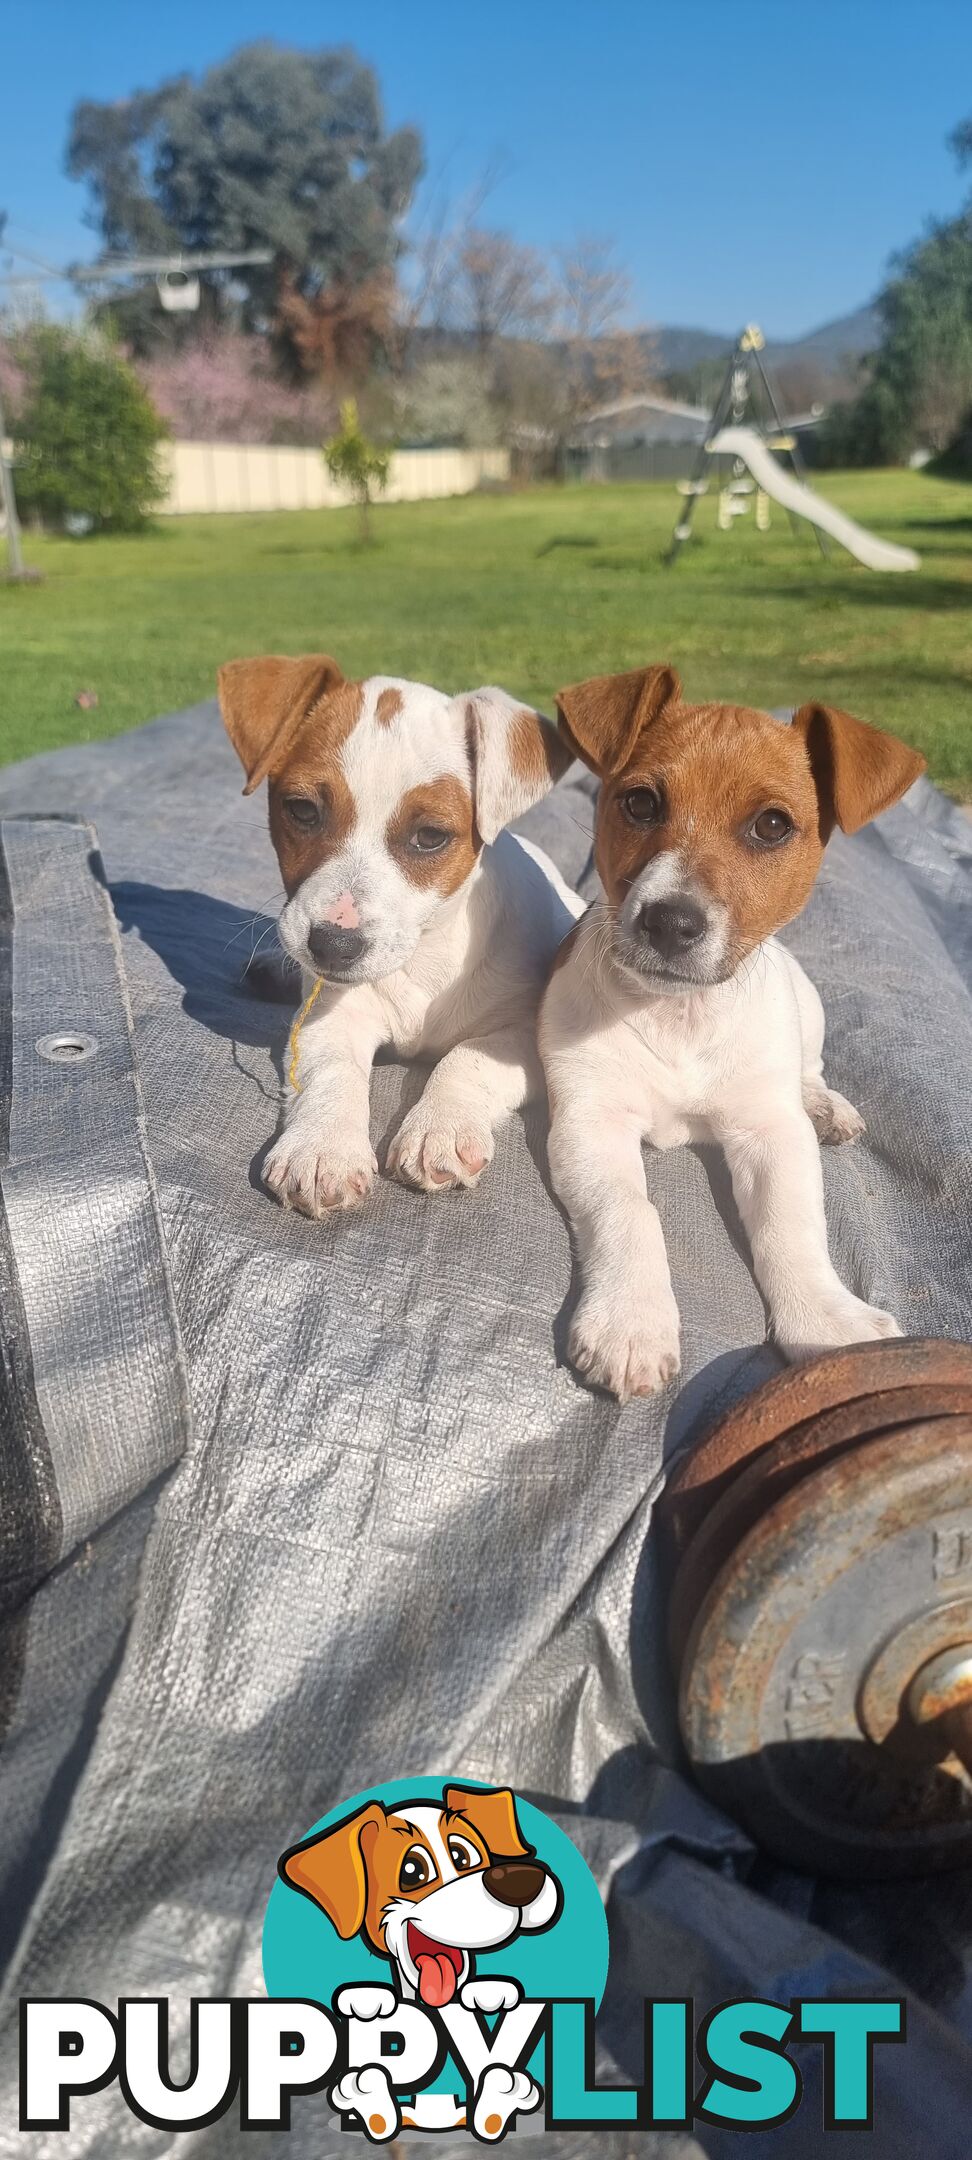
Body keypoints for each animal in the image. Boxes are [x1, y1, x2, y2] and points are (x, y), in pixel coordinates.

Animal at [220, 648, 578, 1209]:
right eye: (301, 810)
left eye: (430, 836)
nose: (332, 945)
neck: (424, 958)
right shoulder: (331, 1017)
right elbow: (333, 1073)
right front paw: (321, 1146)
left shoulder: (528, 1035)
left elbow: (464, 1059)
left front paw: (440, 1128)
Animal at [540, 660, 924, 1399]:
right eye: (640, 804)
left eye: (772, 825)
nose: (670, 921)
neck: (678, 1014)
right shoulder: (590, 1122)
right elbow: (629, 1212)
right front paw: (630, 1321)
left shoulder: (768, 1134)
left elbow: (790, 1227)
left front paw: (824, 1320)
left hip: (808, 1007)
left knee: (810, 1070)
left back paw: (827, 1107)